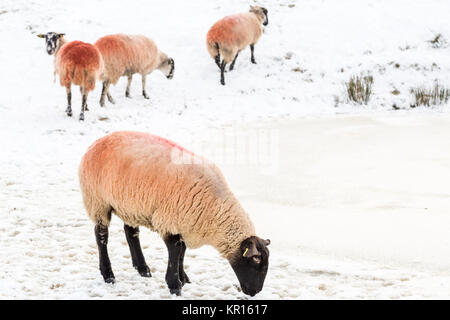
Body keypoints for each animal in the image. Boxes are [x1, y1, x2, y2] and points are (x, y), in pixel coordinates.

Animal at [78, 131, 270, 296]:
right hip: (97, 201)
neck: (214, 208)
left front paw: (183, 278)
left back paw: (143, 269)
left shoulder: (184, 222)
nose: (255, 292)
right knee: (101, 236)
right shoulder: (169, 220)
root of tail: (96, 143)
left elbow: (182, 251)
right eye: (256, 262)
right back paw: (108, 274)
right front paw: (174, 285)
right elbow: (175, 251)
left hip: (130, 204)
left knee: (131, 233)